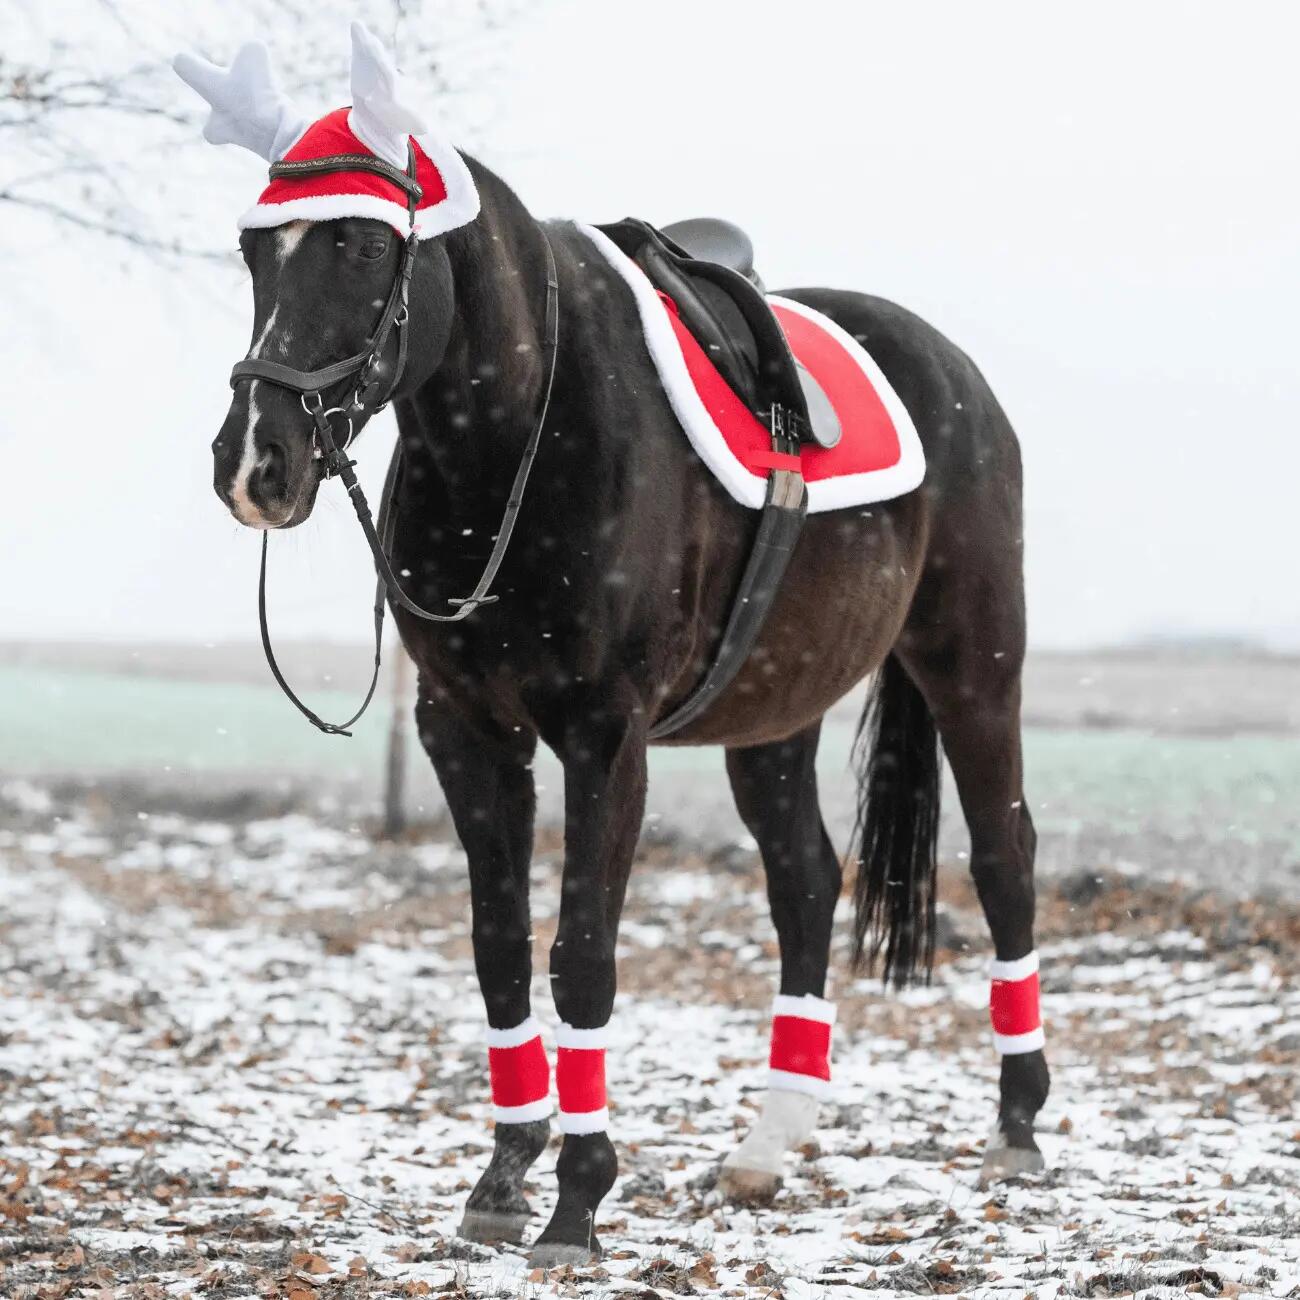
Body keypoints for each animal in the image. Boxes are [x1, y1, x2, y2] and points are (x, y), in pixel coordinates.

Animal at [181, 26, 1049, 1268]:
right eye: (258, 246)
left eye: (361, 244)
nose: (256, 459)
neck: (517, 434)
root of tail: (948, 365)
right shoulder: (463, 730)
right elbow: (499, 944)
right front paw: (502, 1175)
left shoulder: (604, 736)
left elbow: (580, 950)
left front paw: (577, 1200)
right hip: (776, 713)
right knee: (805, 882)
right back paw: (768, 1142)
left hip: (974, 665)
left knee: (1005, 858)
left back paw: (1018, 1124)